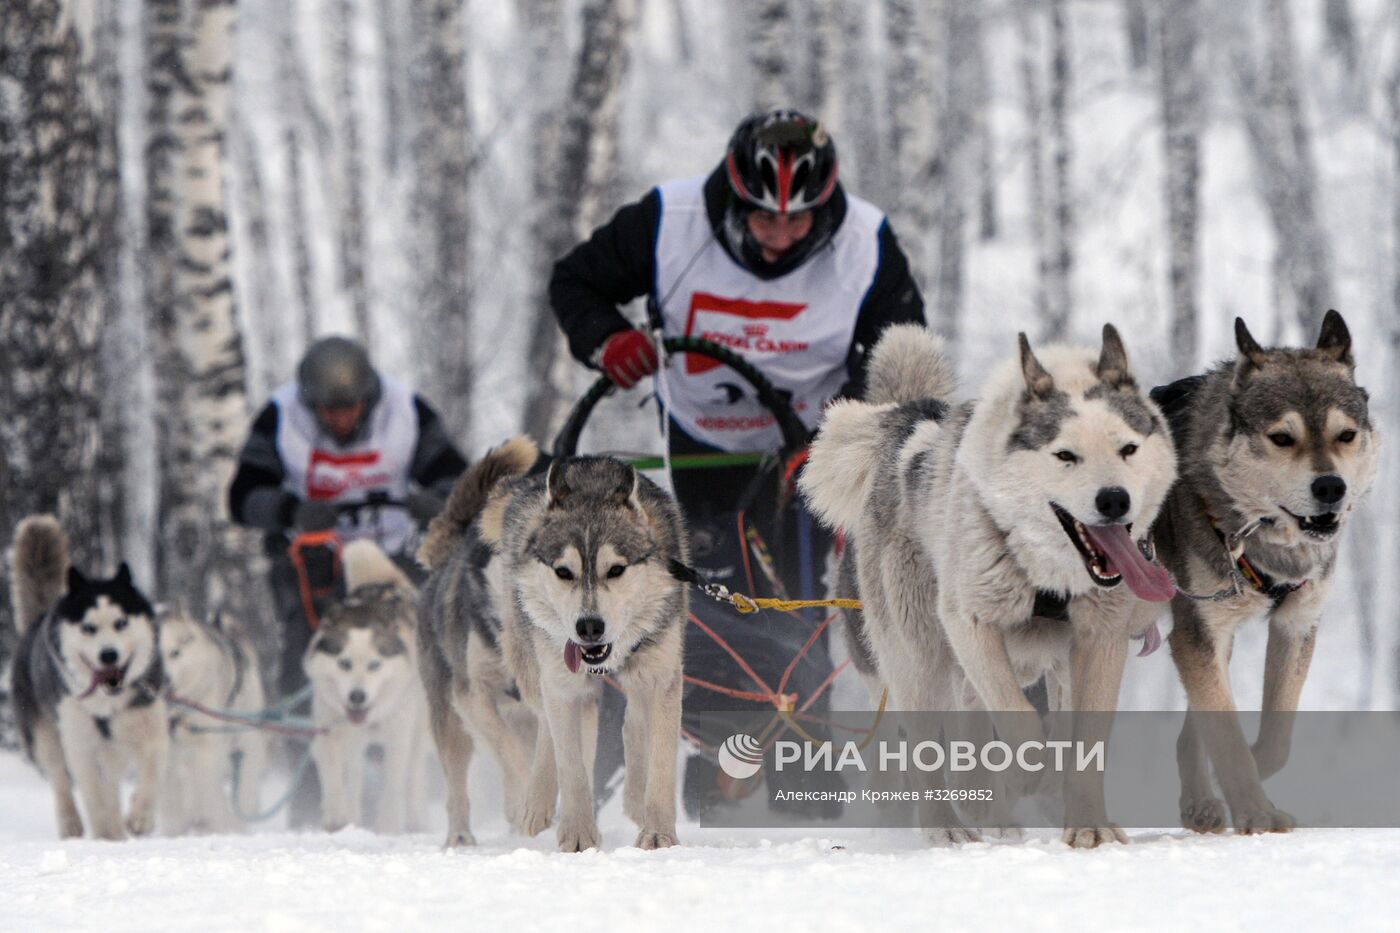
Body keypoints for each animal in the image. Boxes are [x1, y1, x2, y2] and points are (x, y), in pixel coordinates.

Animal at [7, 512, 169, 840]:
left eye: (121, 622)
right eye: (88, 628)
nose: (109, 655)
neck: (108, 704)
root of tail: (40, 618)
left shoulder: (149, 727)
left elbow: (152, 771)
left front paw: (140, 817)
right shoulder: (81, 743)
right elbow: (93, 795)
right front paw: (104, 834)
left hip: (112, 751)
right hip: (44, 736)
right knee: (60, 778)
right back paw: (73, 823)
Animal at [158, 602, 267, 829]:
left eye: (175, 653)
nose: (163, 681)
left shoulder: (206, 748)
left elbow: (206, 790)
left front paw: (210, 821)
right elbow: (172, 798)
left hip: (243, 740)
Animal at [306, 535, 431, 829]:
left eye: (375, 665)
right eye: (344, 663)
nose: (357, 697)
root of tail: (386, 585)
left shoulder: (398, 734)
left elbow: (393, 782)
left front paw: (389, 825)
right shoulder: (331, 729)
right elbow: (336, 776)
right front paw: (338, 817)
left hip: (420, 728)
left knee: (413, 773)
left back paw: (416, 818)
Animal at [800, 323, 1181, 846]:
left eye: (1128, 449)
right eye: (1065, 454)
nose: (1114, 500)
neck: (1046, 574)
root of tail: (908, 421)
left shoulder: (1097, 643)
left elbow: (1083, 743)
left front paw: (1087, 825)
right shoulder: (971, 625)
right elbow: (1020, 722)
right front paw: (1029, 775)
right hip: (920, 656)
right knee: (926, 745)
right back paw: (949, 825)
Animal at [1148, 308, 1377, 829]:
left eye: (1345, 435)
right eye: (1282, 438)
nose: (1331, 487)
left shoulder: (1295, 623)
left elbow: (1272, 742)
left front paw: (1229, 792)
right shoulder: (1196, 632)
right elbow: (1230, 742)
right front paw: (1256, 813)